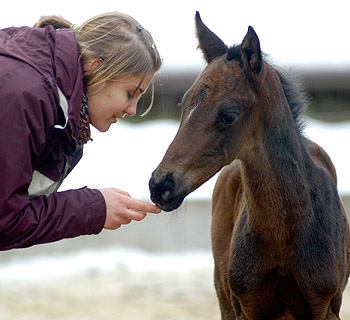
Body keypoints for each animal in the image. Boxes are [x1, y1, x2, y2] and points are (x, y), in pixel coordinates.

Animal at [149, 11, 348, 318]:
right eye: (184, 104)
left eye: (228, 115)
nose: (161, 184)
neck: (282, 237)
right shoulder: (247, 306)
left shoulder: (323, 306)